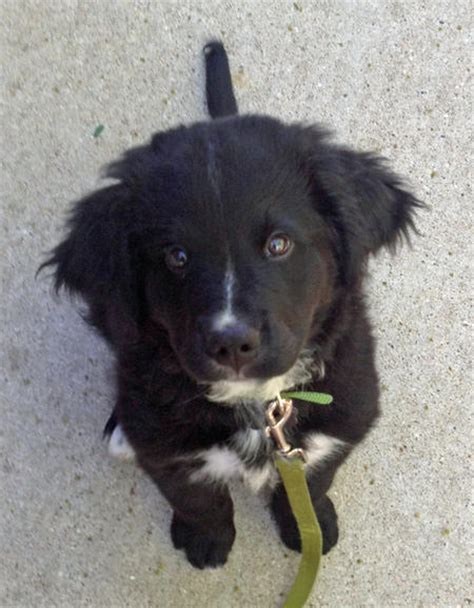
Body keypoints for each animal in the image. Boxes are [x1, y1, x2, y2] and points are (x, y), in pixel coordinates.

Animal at [42, 44, 422, 568]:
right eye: (176, 257)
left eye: (279, 244)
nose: (231, 344)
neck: (259, 404)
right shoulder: (169, 451)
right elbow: (198, 499)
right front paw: (206, 540)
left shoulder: (343, 416)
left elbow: (313, 480)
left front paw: (309, 526)